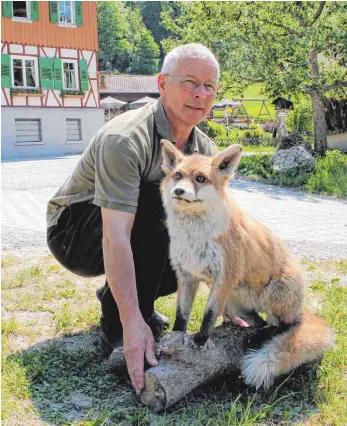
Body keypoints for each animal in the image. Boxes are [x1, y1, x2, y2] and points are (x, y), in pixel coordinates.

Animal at [162, 139, 336, 390]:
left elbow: (208, 314)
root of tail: (300, 309)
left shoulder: (225, 276)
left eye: (200, 178)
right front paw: (176, 336)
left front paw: (201, 339)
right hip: (235, 303)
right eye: (178, 175)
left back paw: (264, 335)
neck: (194, 236)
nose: (178, 191)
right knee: (256, 321)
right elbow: (182, 313)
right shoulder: (187, 275)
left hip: (276, 293)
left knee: (284, 326)